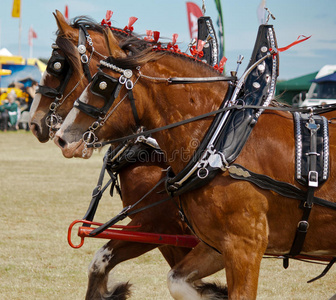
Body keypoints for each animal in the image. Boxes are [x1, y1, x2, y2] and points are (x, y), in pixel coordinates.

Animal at [53, 28, 336, 300]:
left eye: (101, 84)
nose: (61, 136)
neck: (220, 141)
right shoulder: (213, 244)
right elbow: (173, 279)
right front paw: (213, 292)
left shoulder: (242, 244)